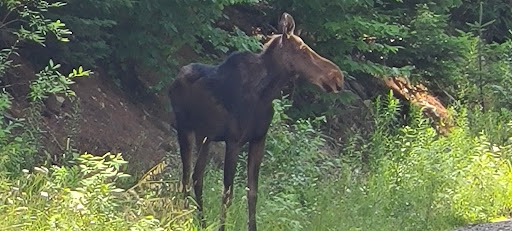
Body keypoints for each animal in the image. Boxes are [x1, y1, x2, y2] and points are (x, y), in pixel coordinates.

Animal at [169, 12, 344, 231]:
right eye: (303, 50)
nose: (337, 77)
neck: (265, 94)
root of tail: (174, 80)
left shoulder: (258, 140)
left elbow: (252, 193)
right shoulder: (234, 141)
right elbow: (227, 194)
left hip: (205, 136)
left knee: (196, 176)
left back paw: (201, 222)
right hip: (184, 128)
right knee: (185, 177)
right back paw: (183, 218)